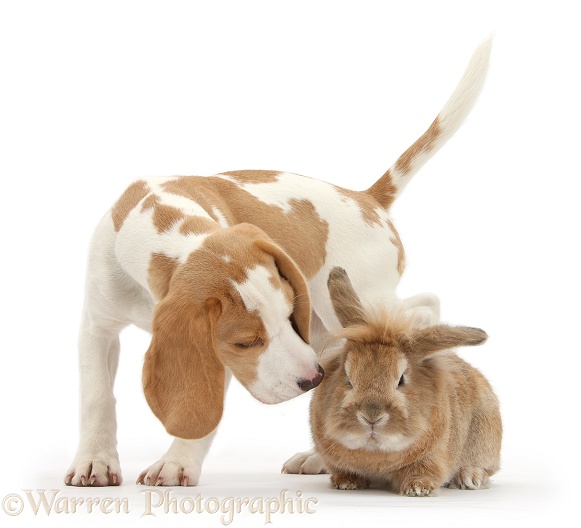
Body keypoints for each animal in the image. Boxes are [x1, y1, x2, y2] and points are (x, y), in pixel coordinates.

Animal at [310, 268, 500, 496]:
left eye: (401, 379)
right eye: (347, 377)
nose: (371, 417)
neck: (374, 454)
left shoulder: (432, 458)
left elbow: (423, 472)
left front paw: (418, 489)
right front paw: (347, 483)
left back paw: (469, 478)